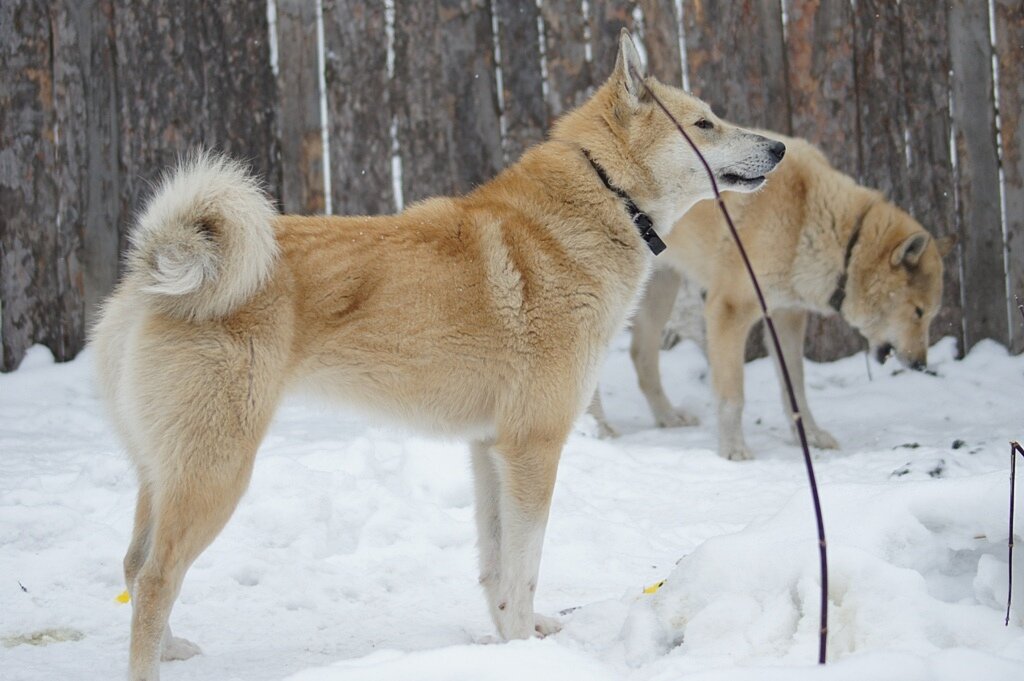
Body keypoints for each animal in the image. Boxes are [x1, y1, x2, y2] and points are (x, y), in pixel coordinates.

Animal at [94, 33, 782, 679]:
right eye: (704, 124)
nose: (778, 148)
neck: (605, 195)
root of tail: (154, 270)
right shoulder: (534, 448)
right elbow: (524, 569)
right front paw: (525, 652)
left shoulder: (490, 451)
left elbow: (497, 568)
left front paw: (513, 644)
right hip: (216, 474)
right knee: (155, 578)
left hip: (167, 472)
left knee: (134, 563)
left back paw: (172, 649)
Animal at [598, 133, 954, 458]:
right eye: (919, 313)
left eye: (929, 316)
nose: (921, 365)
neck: (808, 217)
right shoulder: (728, 311)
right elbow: (732, 396)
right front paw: (733, 451)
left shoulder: (787, 318)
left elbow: (795, 388)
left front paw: (810, 436)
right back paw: (600, 429)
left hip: (661, 292)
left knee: (641, 357)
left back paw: (668, 417)